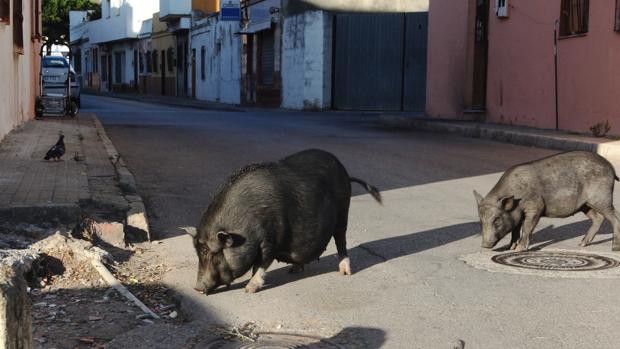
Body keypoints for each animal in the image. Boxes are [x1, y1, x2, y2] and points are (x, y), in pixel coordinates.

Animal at [474, 150, 620, 250]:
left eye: (496, 220)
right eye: (481, 221)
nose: (484, 245)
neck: (516, 196)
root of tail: (611, 167)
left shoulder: (535, 206)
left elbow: (526, 227)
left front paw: (519, 250)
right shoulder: (518, 214)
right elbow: (515, 228)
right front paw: (509, 248)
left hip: (602, 198)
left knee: (614, 217)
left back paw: (614, 248)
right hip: (586, 204)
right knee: (598, 218)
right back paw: (581, 244)